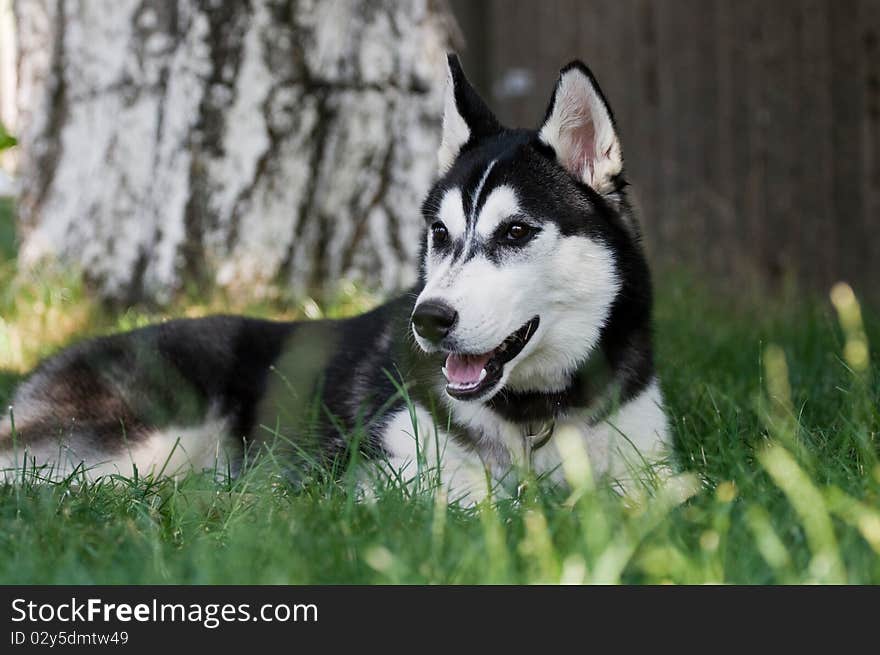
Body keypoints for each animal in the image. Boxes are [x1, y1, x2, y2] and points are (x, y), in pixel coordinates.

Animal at [0, 55, 672, 502]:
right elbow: (476, 499)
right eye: (440, 233)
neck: (535, 415)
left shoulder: (650, 464)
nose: (429, 320)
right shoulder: (372, 471)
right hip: (152, 441)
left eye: (515, 232)